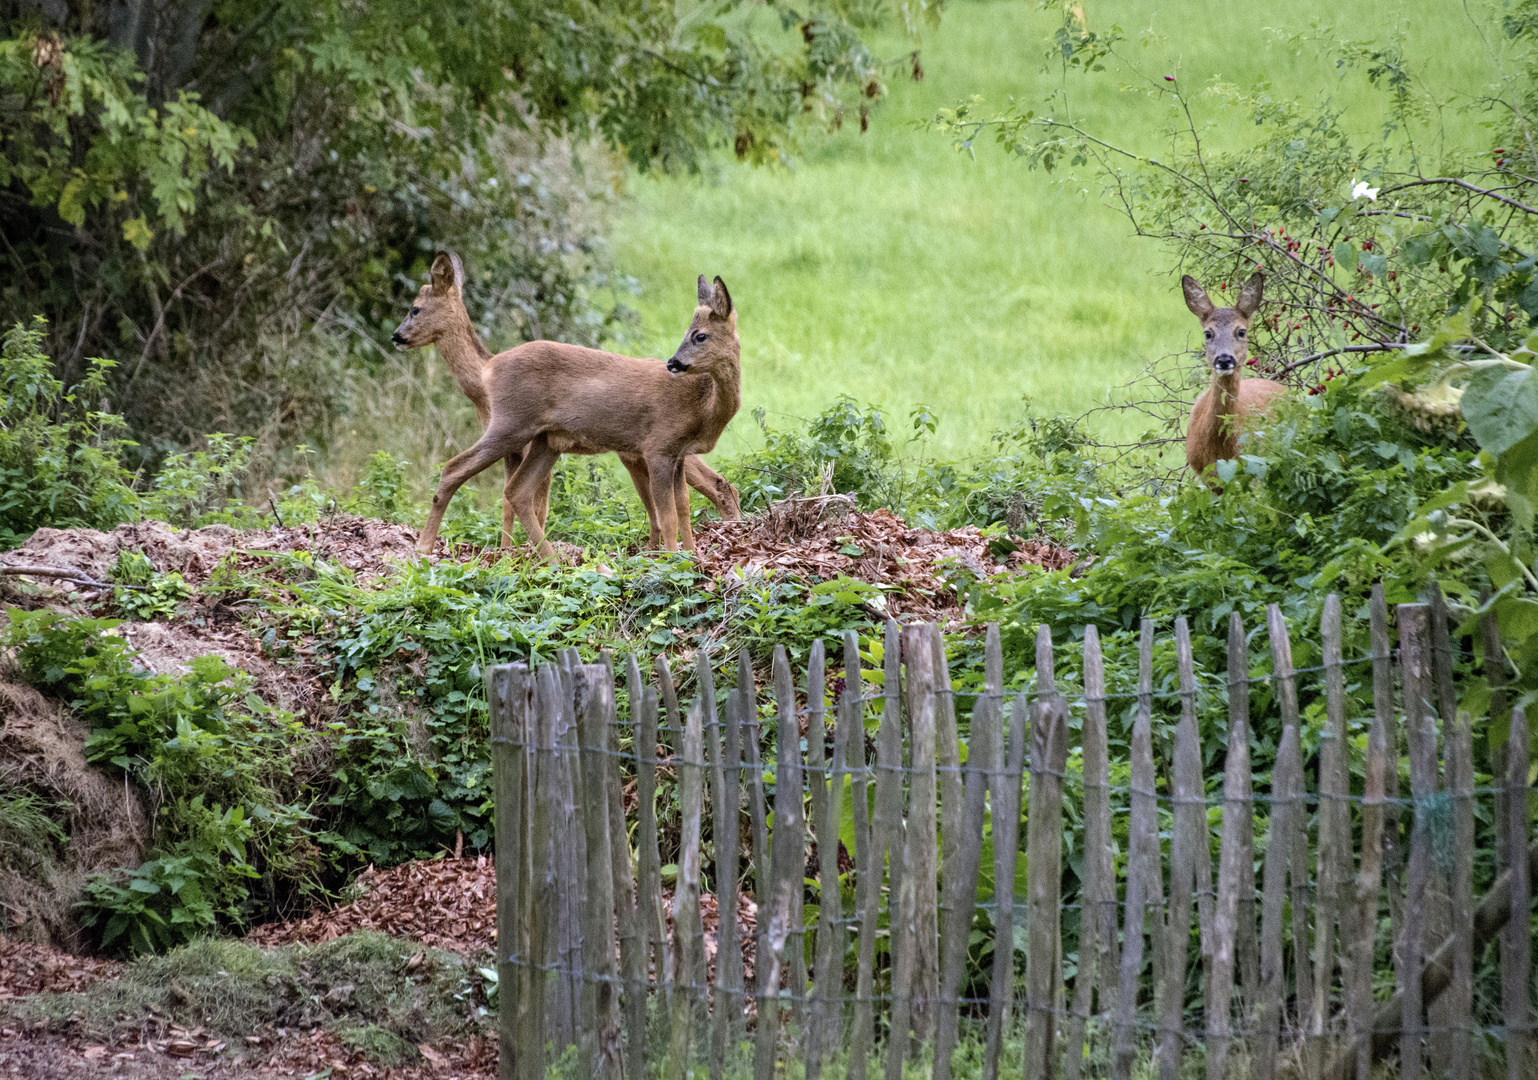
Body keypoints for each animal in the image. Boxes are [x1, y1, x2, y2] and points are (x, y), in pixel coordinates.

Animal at [390, 252, 738, 550]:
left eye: (414, 308)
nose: (396, 336)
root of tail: (494, 367)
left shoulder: (666, 451)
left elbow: (677, 511)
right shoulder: (661, 450)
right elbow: (674, 513)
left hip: (527, 433)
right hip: (529, 433)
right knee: (479, 479)